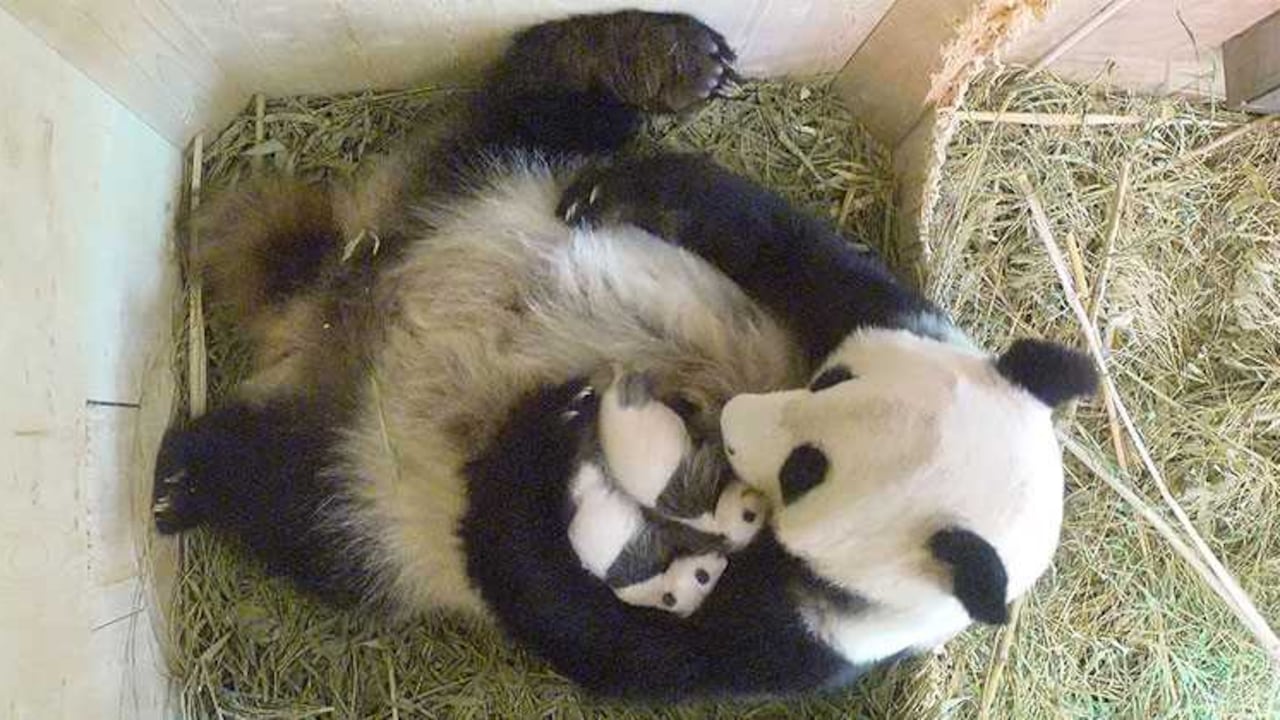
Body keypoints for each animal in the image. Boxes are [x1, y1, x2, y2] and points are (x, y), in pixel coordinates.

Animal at [152, 9, 1098, 702]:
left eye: (802, 474)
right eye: (829, 382)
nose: (728, 418)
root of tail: (338, 305)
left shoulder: (809, 638)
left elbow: (625, 649)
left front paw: (531, 446)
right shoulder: (889, 316)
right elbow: (791, 248)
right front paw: (639, 190)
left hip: (371, 477)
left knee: (292, 504)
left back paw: (188, 475)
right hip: (494, 171)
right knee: (536, 95)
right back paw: (662, 59)